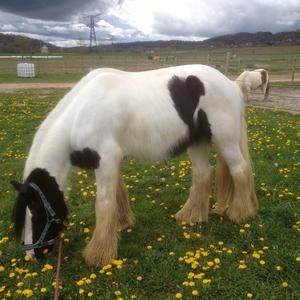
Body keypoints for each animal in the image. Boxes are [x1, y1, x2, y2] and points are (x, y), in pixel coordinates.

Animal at [9, 64, 258, 266]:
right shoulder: (109, 162)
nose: (32, 256)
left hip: (225, 140)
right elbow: (118, 194)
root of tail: (232, 85)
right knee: (203, 174)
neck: (81, 115)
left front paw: (98, 254)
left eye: (37, 214)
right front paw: (121, 224)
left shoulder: (106, 159)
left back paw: (240, 214)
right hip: (196, 143)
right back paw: (191, 216)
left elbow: (104, 203)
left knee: (240, 170)